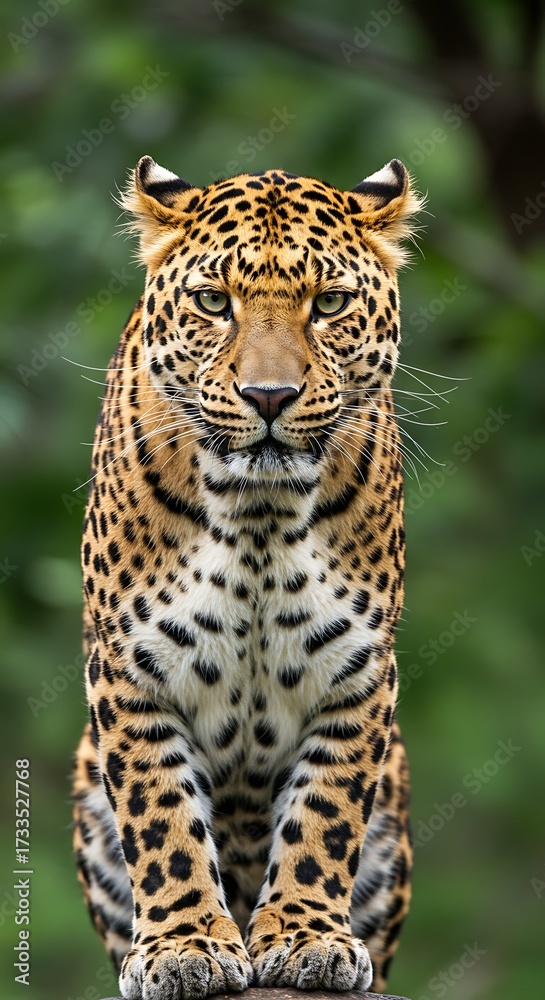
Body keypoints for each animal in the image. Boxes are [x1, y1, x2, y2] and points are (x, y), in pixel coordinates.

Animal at [72, 154, 423, 1000]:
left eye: (327, 304)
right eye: (213, 302)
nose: (268, 397)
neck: (259, 512)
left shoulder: (357, 670)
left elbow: (324, 813)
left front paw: (305, 936)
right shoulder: (129, 667)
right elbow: (160, 814)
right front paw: (184, 945)